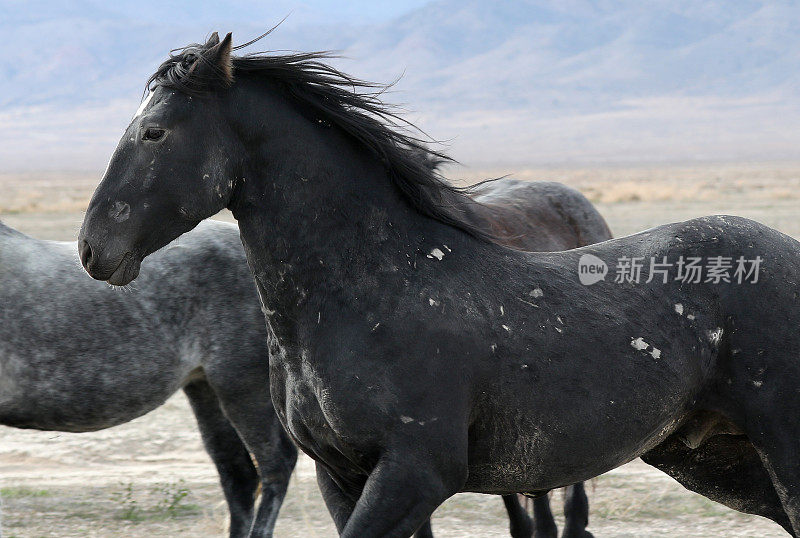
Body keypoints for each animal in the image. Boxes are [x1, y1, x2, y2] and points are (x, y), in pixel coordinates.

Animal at [78, 32, 796, 532]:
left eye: (154, 131)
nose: (92, 249)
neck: (373, 290)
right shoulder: (343, 477)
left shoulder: (414, 473)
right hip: (716, 461)